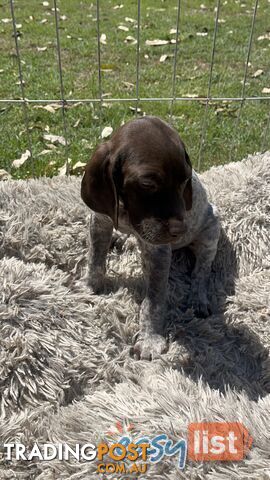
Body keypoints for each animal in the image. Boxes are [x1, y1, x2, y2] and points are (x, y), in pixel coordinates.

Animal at [80, 116, 219, 360]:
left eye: (185, 180)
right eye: (147, 184)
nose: (180, 230)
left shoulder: (158, 250)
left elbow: (153, 300)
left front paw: (150, 339)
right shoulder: (99, 220)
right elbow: (95, 259)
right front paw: (90, 285)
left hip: (212, 228)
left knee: (202, 270)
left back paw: (198, 298)